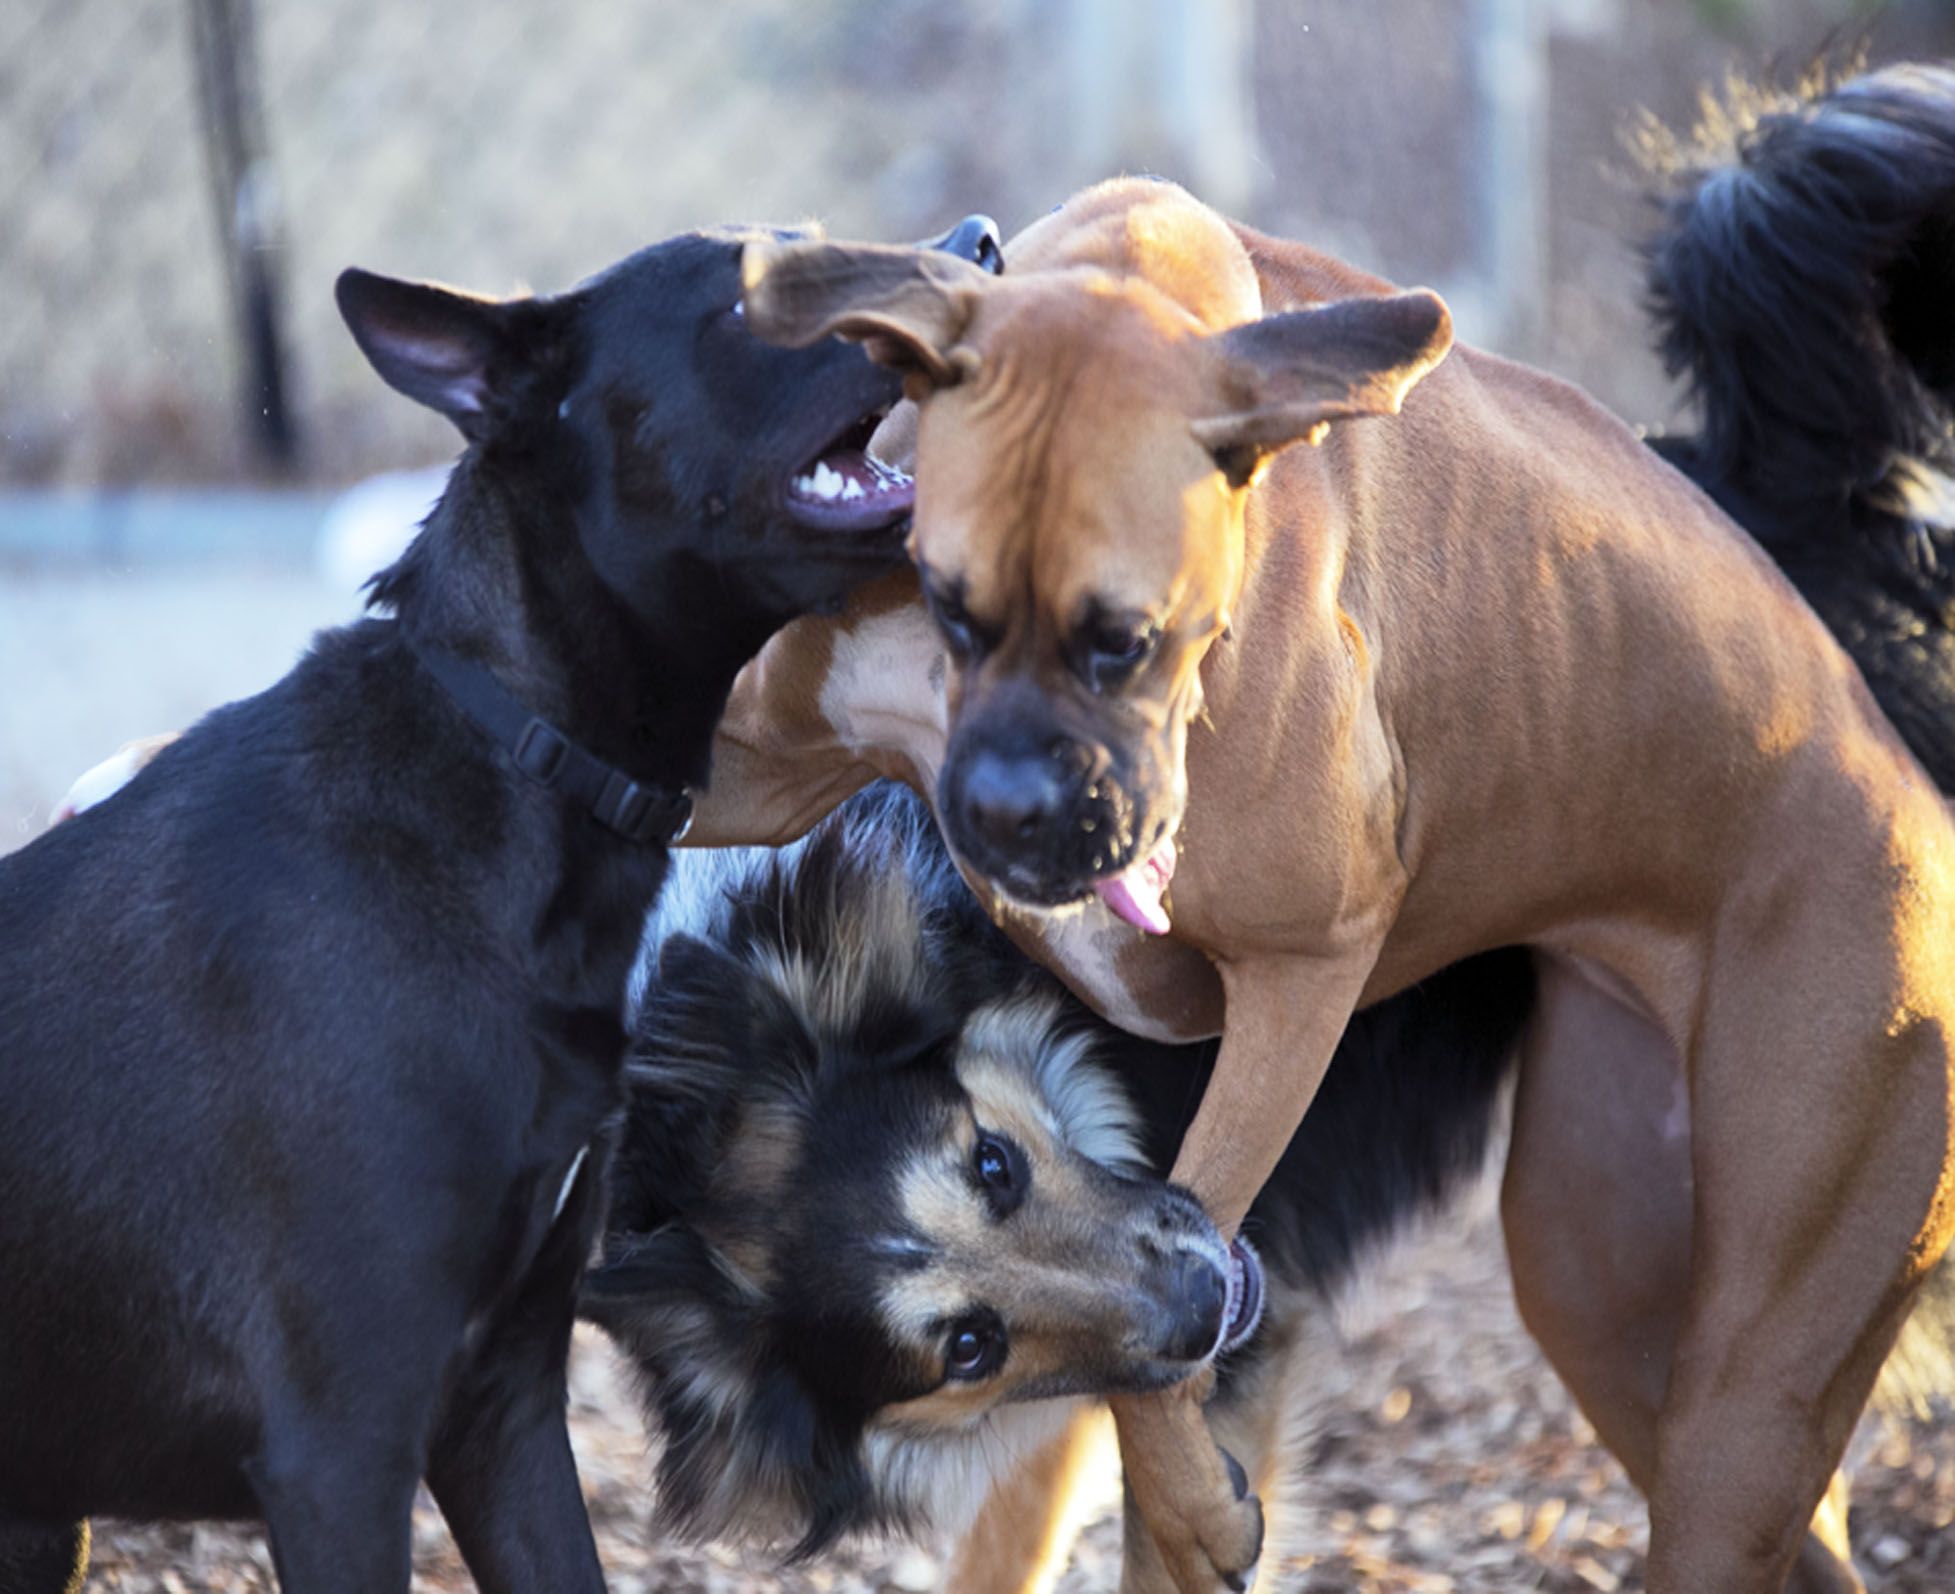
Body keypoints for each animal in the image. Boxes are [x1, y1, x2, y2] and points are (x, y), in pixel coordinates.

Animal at [715, 177, 1955, 1594]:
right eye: (950, 605)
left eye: (1124, 640)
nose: (1011, 814)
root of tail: (1904, 789)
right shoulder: (745, 766)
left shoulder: (1297, 980)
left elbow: (1178, 1268)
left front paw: (1196, 1510)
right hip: (1611, 1297)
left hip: (1752, 1372)